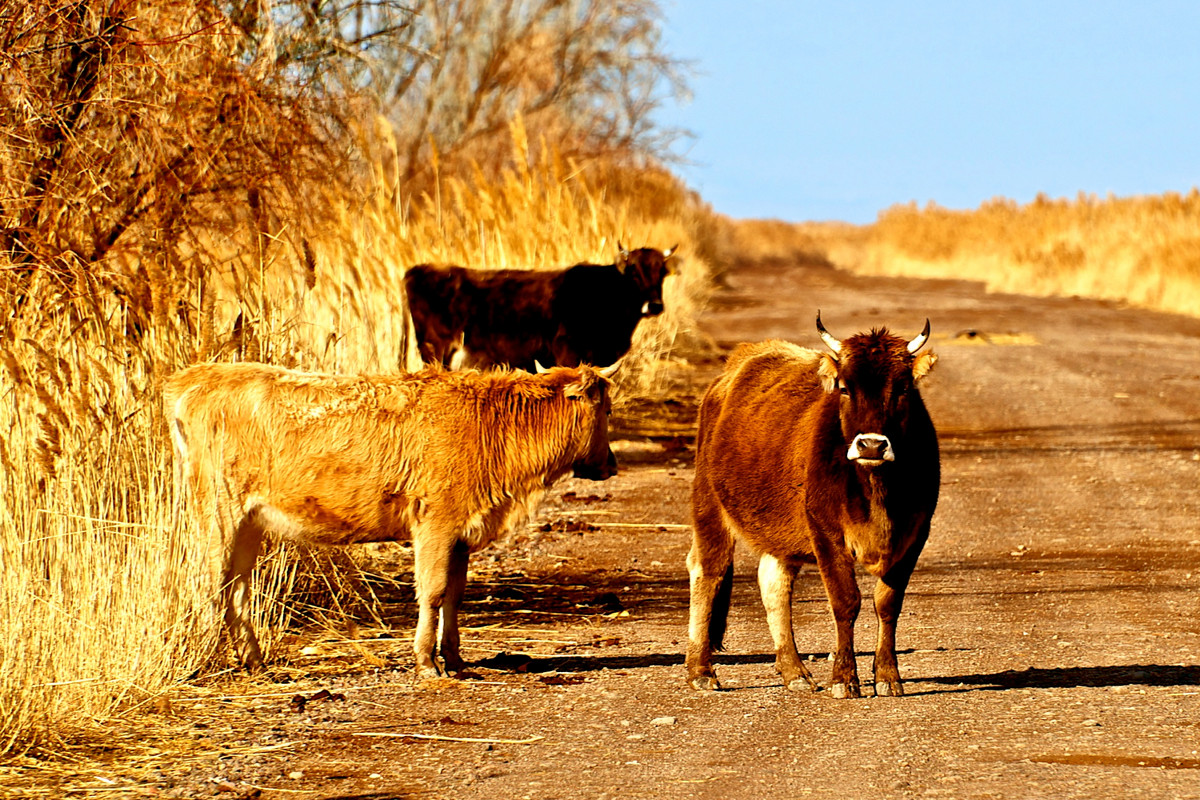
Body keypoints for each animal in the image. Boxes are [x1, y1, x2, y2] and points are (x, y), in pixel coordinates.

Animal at [166, 362, 619, 676]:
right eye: (608, 412)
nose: (611, 464)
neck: (492, 424)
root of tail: (197, 378)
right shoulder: (436, 524)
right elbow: (433, 592)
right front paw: (427, 663)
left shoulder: (460, 535)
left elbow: (454, 595)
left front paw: (454, 658)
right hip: (218, 511)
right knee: (207, 582)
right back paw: (203, 659)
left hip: (247, 522)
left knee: (237, 588)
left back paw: (254, 661)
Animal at [405, 244, 676, 371]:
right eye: (634, 272)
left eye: (662, 272)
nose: (654, 305)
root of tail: (419, 269)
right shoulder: (567, 352)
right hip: (435, 351)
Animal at [686, 316, 936, 695]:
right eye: (845, 388)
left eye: (903, 388)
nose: (872, 445)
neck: (877, 490)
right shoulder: (826, 532)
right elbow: (846, 602)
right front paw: (844, 678)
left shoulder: (916, 534)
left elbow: (887, 604)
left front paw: (888, 676)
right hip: (708, 503)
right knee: (707, 571)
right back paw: (701, 670)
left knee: (773, 583)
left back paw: (794, 671)